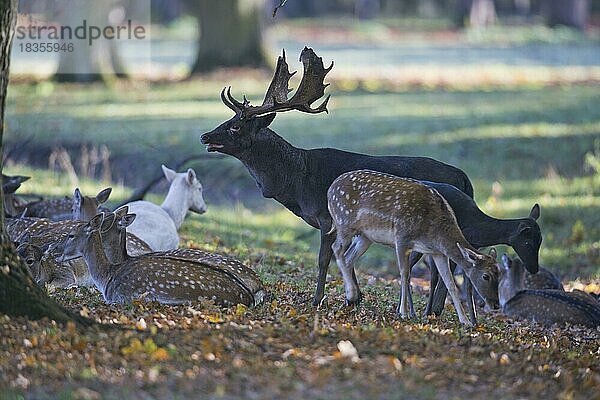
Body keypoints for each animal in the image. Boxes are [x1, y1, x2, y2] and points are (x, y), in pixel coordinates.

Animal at [326, 170, 500, 326]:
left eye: (499, 273)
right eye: (486, 276)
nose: (496, 304)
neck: (434, 231)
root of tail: (330, 189)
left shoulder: (437, 252)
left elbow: (449, 282)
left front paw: (465, 321)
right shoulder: (401, 237)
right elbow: (405, 274)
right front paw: (404, 313)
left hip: (365, 236)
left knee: (348, 257)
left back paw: (352, 298)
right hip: (344, 222)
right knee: (337, 249)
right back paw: (351, 294)